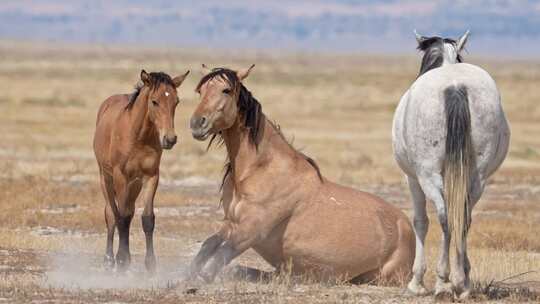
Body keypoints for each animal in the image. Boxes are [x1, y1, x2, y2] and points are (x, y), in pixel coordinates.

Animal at [94, 69, 190, 274]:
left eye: (176, 101)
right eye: (154, 101)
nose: (170, 139)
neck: (138, 137)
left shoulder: (151, 177)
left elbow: (146, 218)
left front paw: (150, 264)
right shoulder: (121, 177)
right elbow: (121, 217)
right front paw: (122, 260)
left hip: (135, 185)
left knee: (128, 213)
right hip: (106, 178)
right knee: (111, 214)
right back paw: (109, 260)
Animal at [188, 64, 416, 284]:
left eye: (226, 90)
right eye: (200, 91)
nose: (197, 123)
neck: (260, 170)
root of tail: (407, 227)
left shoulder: (251, 230)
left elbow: (218, 260)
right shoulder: (231, 223)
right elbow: (207, 246)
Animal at [392, 31, 510, 300]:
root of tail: (455, 86)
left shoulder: (412, 178)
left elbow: (420, 221)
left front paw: (417, 281)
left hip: (427, 175)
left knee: (445, 217)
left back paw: (444, 280)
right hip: (478, 177)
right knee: (463, 217)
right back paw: (461, 283)